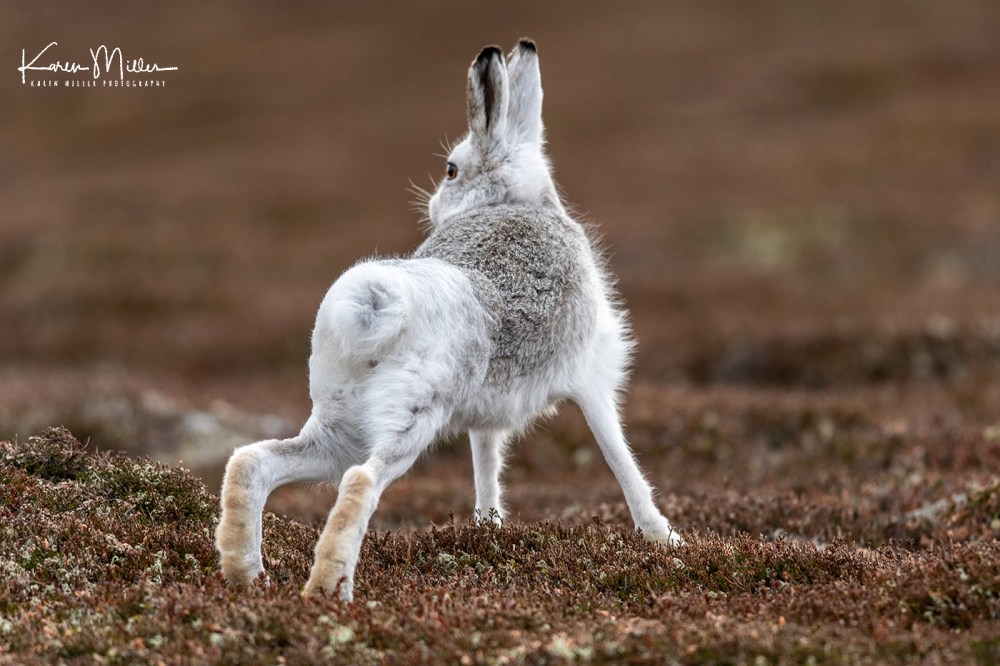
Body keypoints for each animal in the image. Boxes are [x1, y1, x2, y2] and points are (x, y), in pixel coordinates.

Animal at [215, 38, 682, 602]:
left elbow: (486, 460)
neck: (511, 199)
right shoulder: (592, 380)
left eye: (451, 170)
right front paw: (666, 540)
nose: (436, 204)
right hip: (413, 413)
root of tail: (376, 305)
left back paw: (245, 574)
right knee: (360, 481)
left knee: (253, 462)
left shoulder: (489, 412)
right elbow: (620, 457)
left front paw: (488, 526)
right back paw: (331, 590)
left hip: (341, 418)